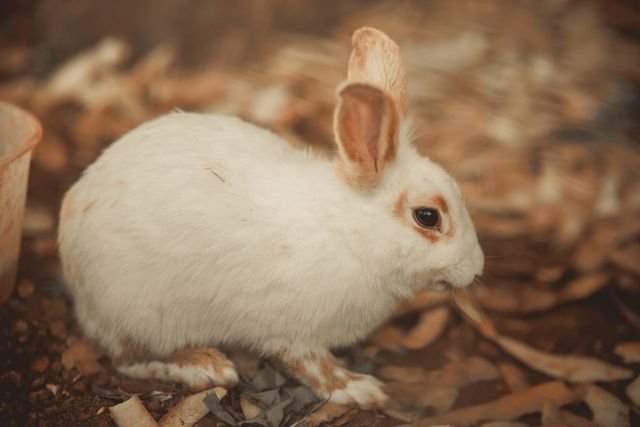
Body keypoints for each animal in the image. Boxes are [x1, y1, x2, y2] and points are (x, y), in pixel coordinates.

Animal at [57, 27, 484, 407]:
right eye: (427, 217)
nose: (476, 268)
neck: (351, 233)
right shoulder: (294, 335)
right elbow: (314, 368)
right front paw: (360, 389)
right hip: (145, 314)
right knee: (131, 359)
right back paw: (206, 365)